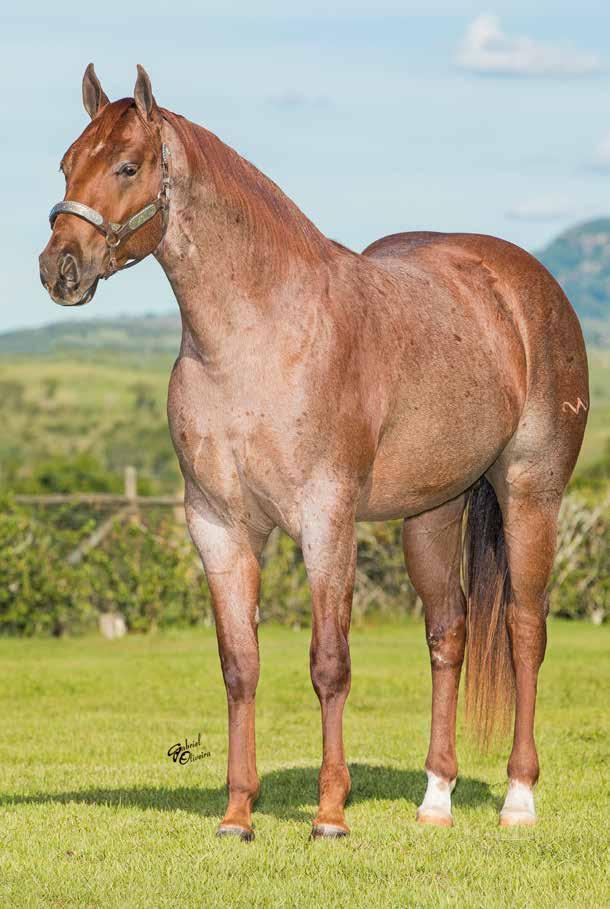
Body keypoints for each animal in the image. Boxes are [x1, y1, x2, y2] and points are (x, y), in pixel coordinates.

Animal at [39, 67, 588, 840]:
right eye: (67, 164)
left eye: (127, 165)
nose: (59, 268)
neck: (258, 334)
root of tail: (523, 287)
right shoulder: (218, 526)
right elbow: (239, 666)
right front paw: (238, 813)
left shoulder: (325, 522)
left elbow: (330, 663)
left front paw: (330, 813)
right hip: (432, 513)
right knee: (447, 633)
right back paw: (436, 798)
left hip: (531, 494)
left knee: (523, 630)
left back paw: (518, 797)